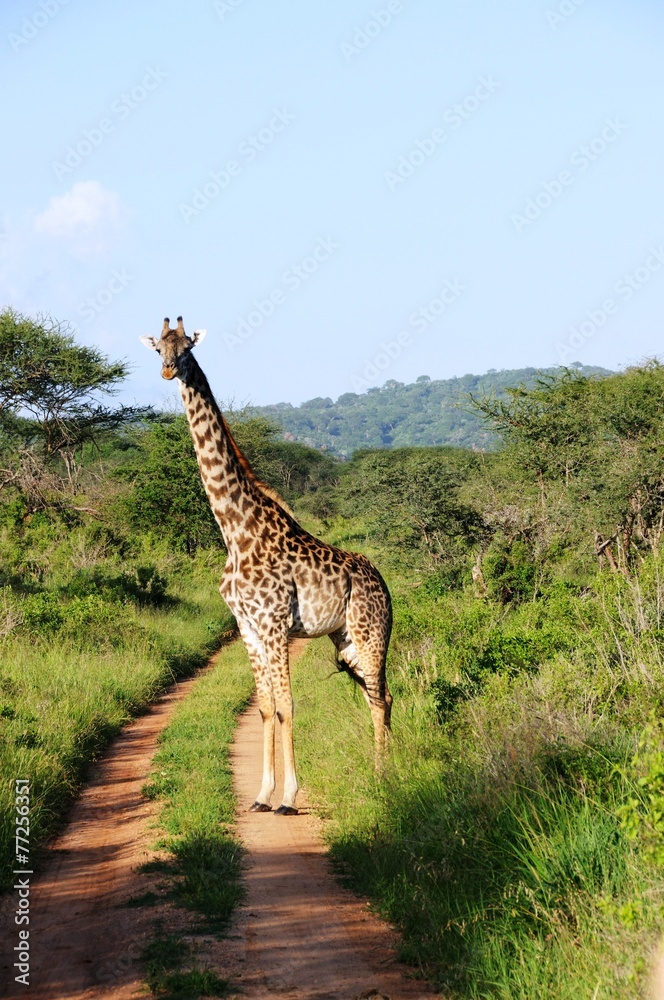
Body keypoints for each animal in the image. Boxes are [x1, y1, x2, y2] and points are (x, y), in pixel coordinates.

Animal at [140, 317, 393, 815]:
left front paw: (289, 798)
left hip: (371, 633)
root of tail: (385, 586)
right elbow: (264, 706)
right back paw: (393, 767)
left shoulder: (276, 624)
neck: (235, 531)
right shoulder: (247, 625)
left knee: (378, 696)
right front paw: (260, 795)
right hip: (345, 639)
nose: (167, 371)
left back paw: (381, 778)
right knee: (383, 695)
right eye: (158, 347)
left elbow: (287, 705)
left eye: (186, 349)